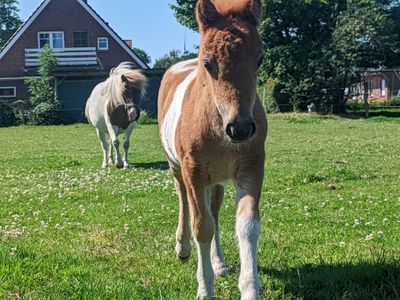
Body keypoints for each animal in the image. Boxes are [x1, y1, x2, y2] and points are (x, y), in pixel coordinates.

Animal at [158, 0, 268, 298]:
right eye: (207, 63)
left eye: (259, 59)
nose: (240, 128)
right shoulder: (193, 170)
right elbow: (202, 227)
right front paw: (205, 289)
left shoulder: (252, 165)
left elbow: (247, 226)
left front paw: (248, 288)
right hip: (178, 168)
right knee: (185, 201)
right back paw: (183, 248)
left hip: (216, 178)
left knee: (215, 211)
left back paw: (218, 263)